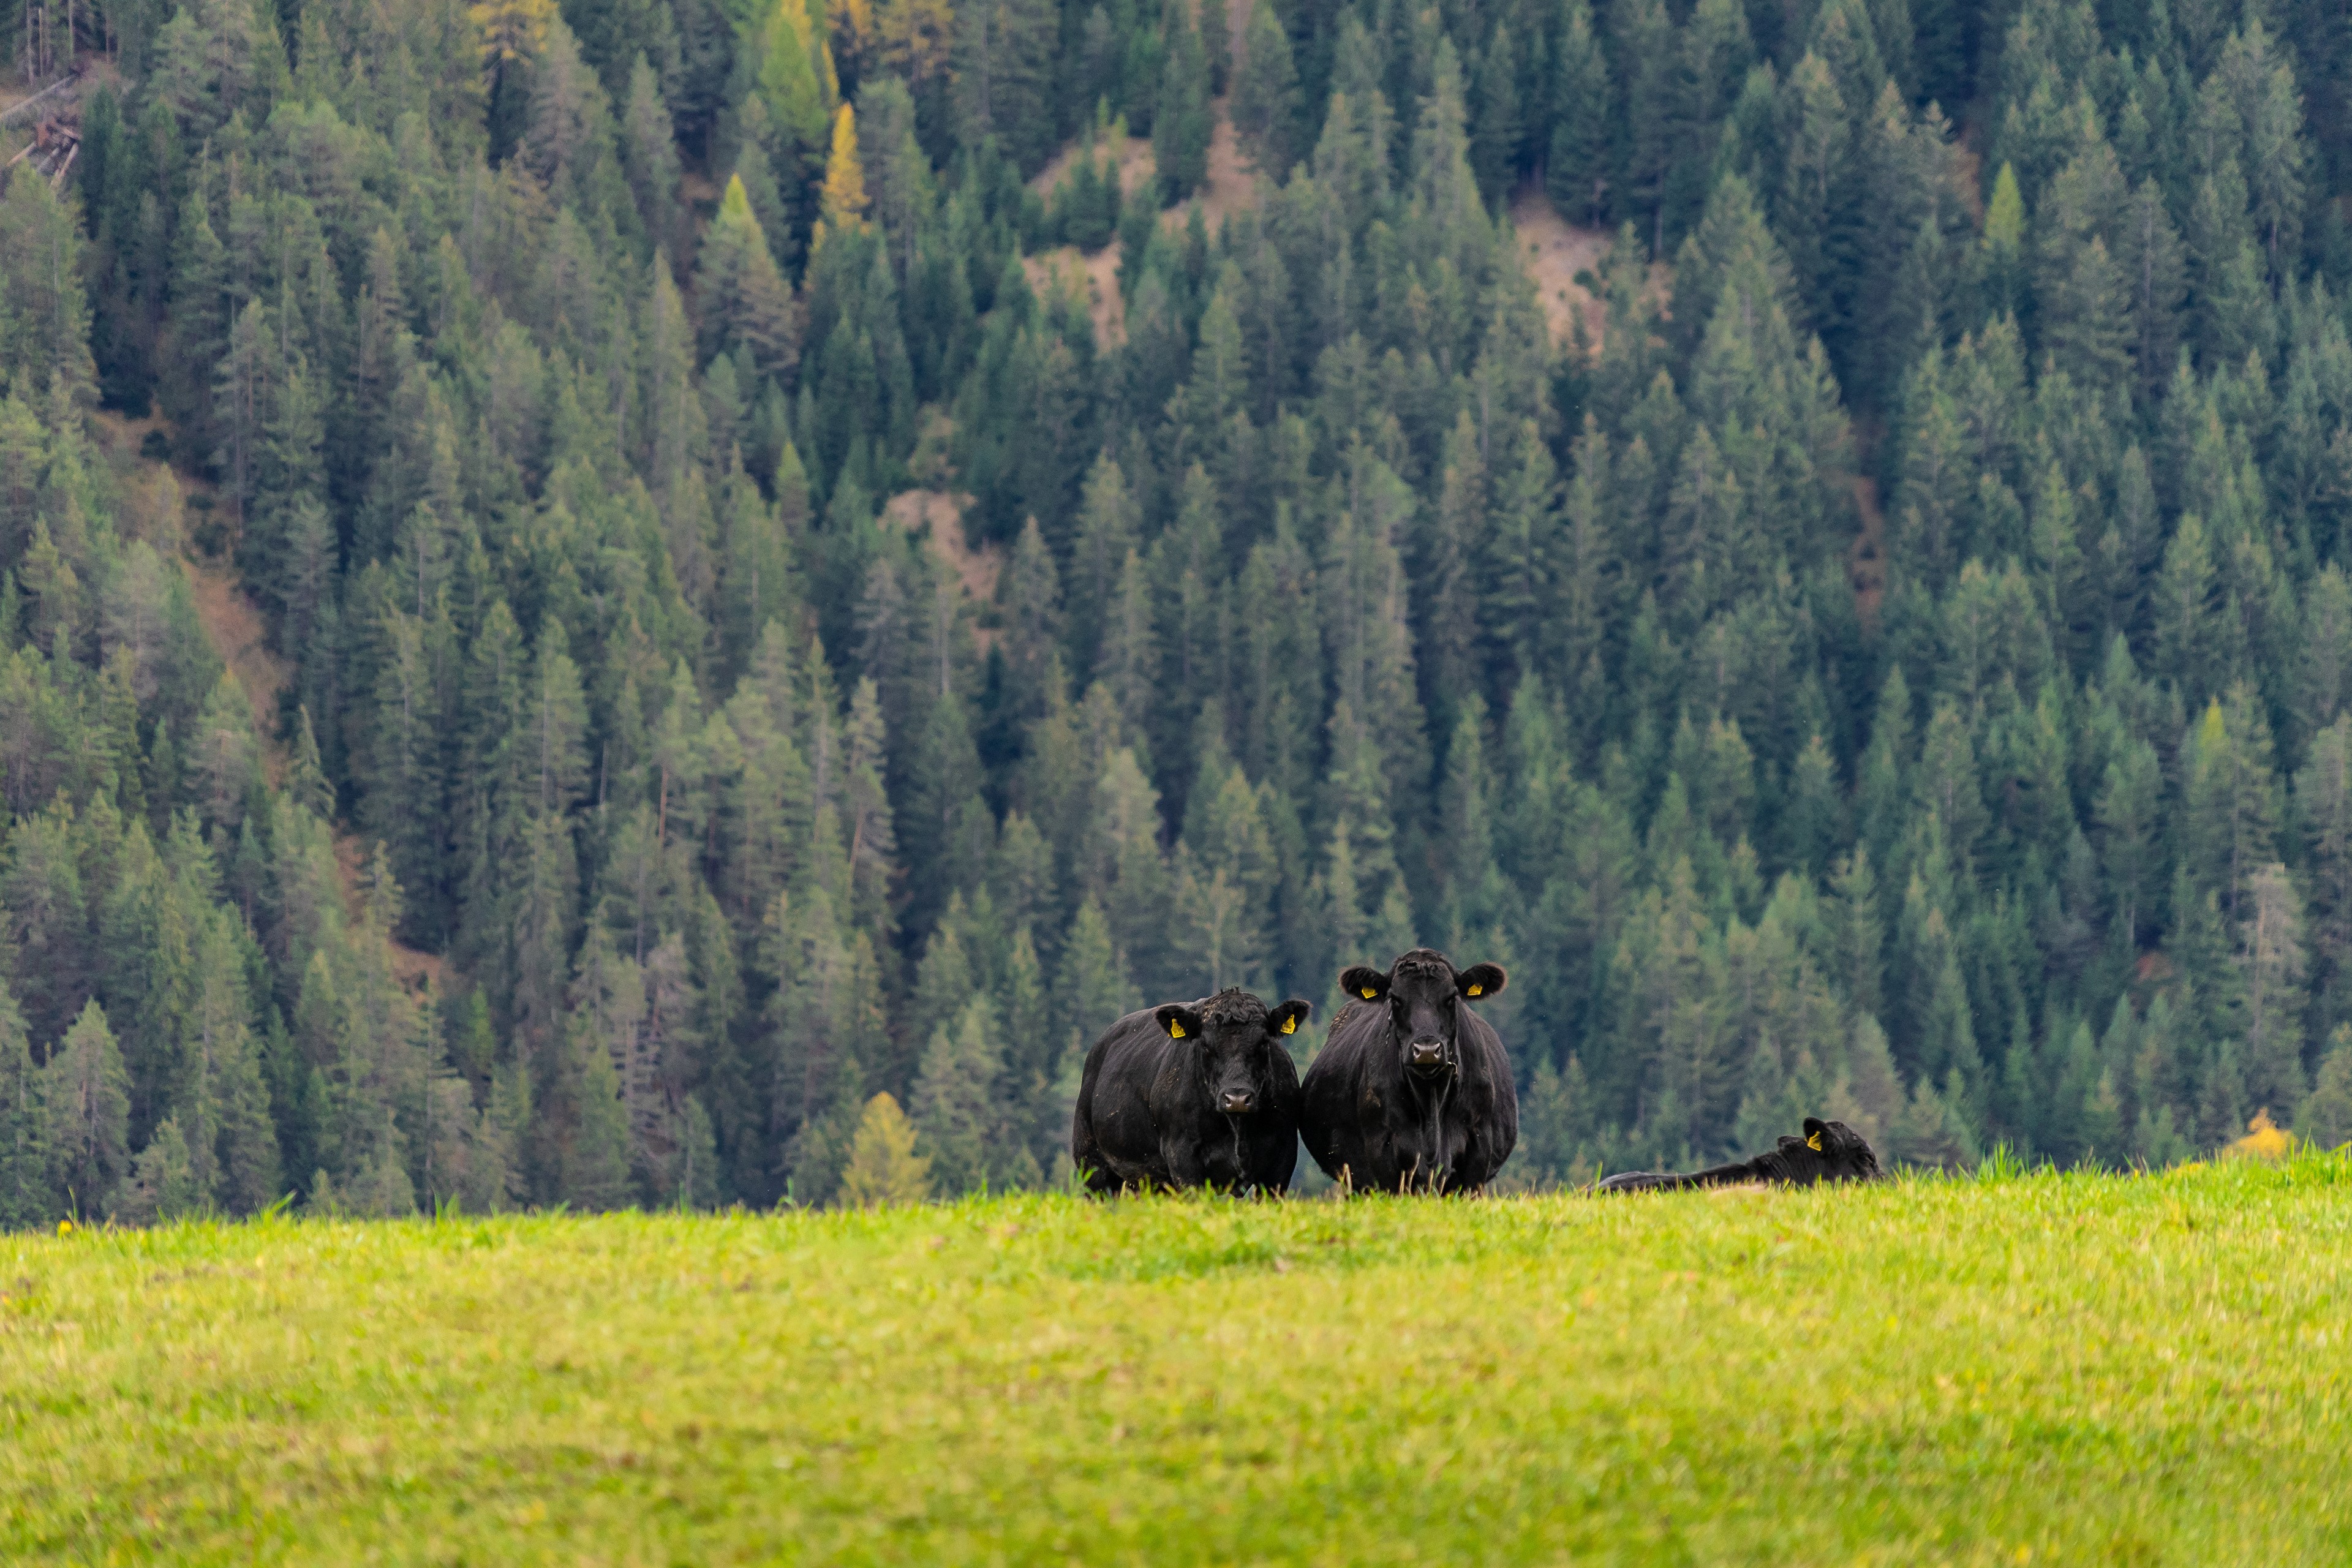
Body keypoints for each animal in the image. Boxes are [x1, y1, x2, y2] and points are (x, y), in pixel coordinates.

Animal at [1071, 988, 1312, 1195]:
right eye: (1205, 1044)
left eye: (1263, 1042)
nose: (1237, 1098)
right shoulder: (1181, 1155)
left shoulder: (1282, 1158)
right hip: (1091, 1162)